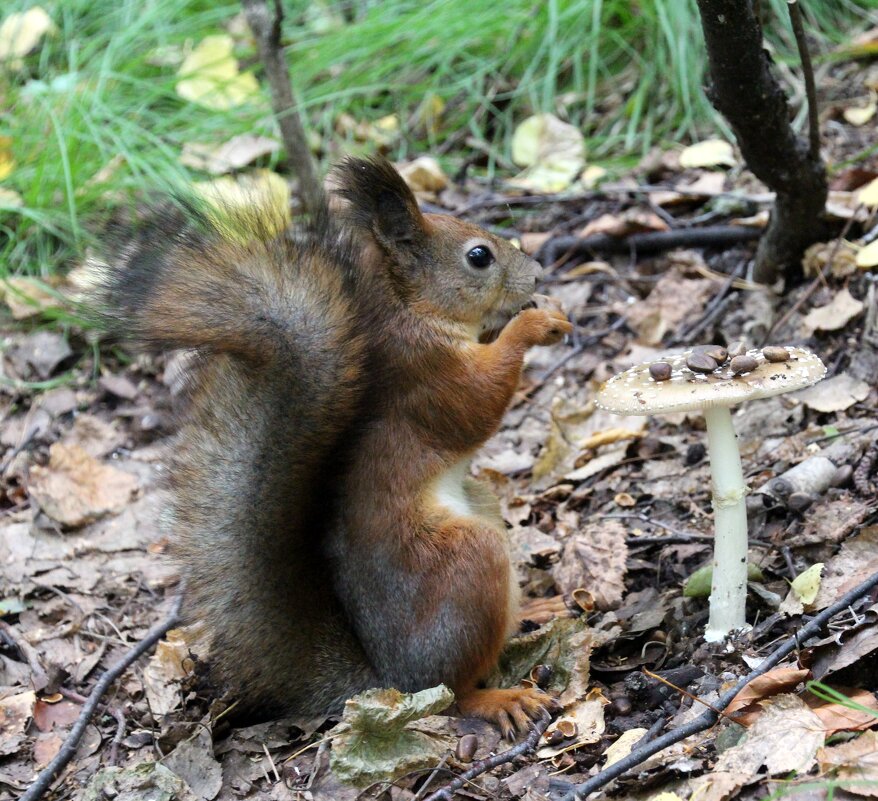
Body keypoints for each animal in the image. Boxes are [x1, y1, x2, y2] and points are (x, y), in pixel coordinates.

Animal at [96, 156, 576, 736]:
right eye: (478, 256)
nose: (537, 275)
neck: (403, 306)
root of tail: (390, 677)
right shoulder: (426, 378)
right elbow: (477, 403)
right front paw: (533, 322)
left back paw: (536, 610)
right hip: (464, 565)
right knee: (452, 691)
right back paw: (497, 698)